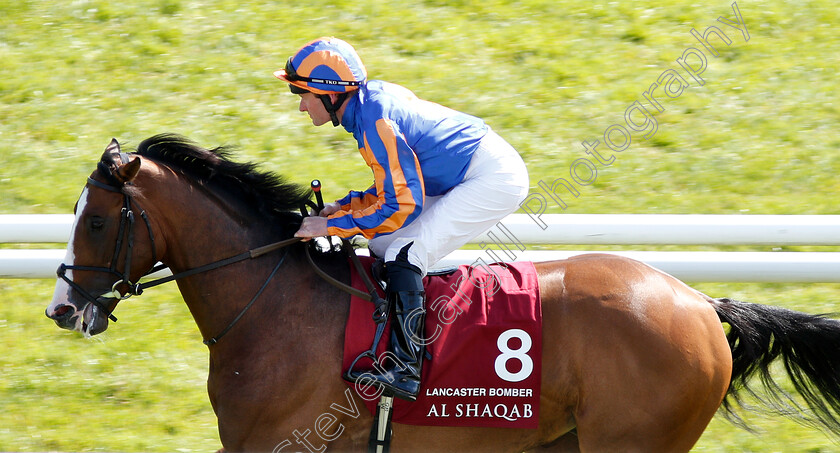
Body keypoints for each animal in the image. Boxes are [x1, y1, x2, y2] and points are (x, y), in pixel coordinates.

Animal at [47, 134, 840, 452]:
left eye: (96, 219)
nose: (62, 307)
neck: (273, 307)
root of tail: (702, 304)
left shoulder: (276, 442)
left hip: (632, 441)